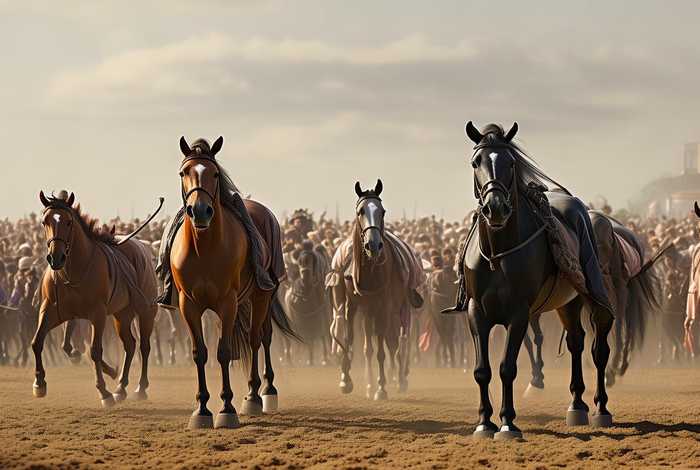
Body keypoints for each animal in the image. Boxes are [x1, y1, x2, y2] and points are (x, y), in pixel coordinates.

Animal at [32, 191, 159, 407]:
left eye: (68, 222)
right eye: (44, 221)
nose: (55, 258)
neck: (73, 271)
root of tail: (142, 248)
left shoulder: (97, 314)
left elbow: (95, 351)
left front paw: (104, 392)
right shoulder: (51, 309)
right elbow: (38, 341)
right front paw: (39, 383)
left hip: (146, 311)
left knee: (144, 346)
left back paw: (140, 388)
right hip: (122, 314)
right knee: (130, 344)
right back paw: (120, 387)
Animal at [169, 136, 296, 429]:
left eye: (214, 173)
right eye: (183, 173)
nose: (200, 211)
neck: (204, 249)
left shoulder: (227, 303)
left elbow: (224, 351)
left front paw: (227, 408)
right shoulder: (188, 305)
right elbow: (200, 353)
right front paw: (202, 409)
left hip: (262, 296)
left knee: (258, 338)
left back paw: (259, 394)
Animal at [328, 179, 424, 399]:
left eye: (382, 211)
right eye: (360, 211)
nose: (373, 245)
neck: (370, 273)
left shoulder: (384, 306)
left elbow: (383, 345)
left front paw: (382, 387)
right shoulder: (354, 304)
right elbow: (351, 338)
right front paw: (346, 379)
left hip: (401, 306)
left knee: (399, 340)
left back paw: (399, 377)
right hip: (368, 310)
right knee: (374, 344)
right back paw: (373, 382)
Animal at [452, 121, 619, 440]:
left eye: (510, 162)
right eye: (476, 162)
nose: (495, 208)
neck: (498, 254)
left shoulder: (519, 313)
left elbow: (507, 367)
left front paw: (507, 423)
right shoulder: (476, 312)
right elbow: (482, 370)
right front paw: (484, 422)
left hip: (592, 293)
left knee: (599, 348)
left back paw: (600, 409)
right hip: (567, 302)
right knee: (576, 342)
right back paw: (576, 405)